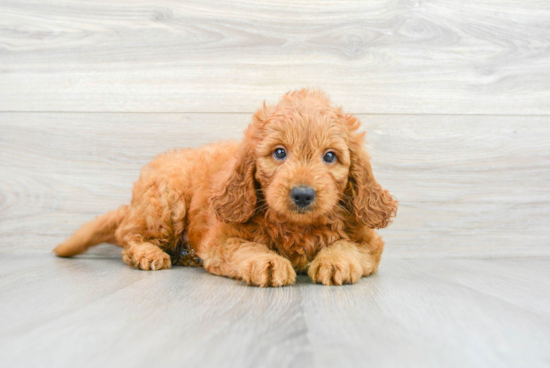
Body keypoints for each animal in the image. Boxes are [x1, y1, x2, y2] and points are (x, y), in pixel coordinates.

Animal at [55, 90, 396, 288]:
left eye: (330, 157)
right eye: (280, 153)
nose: (302, 194)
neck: (296, 228)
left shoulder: (367, 238)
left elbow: (350, 245)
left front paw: (335, 260)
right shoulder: (221, 237)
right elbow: (245, 247)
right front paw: (267, 262)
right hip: (165, 202)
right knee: (129, 236)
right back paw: (148, 254)